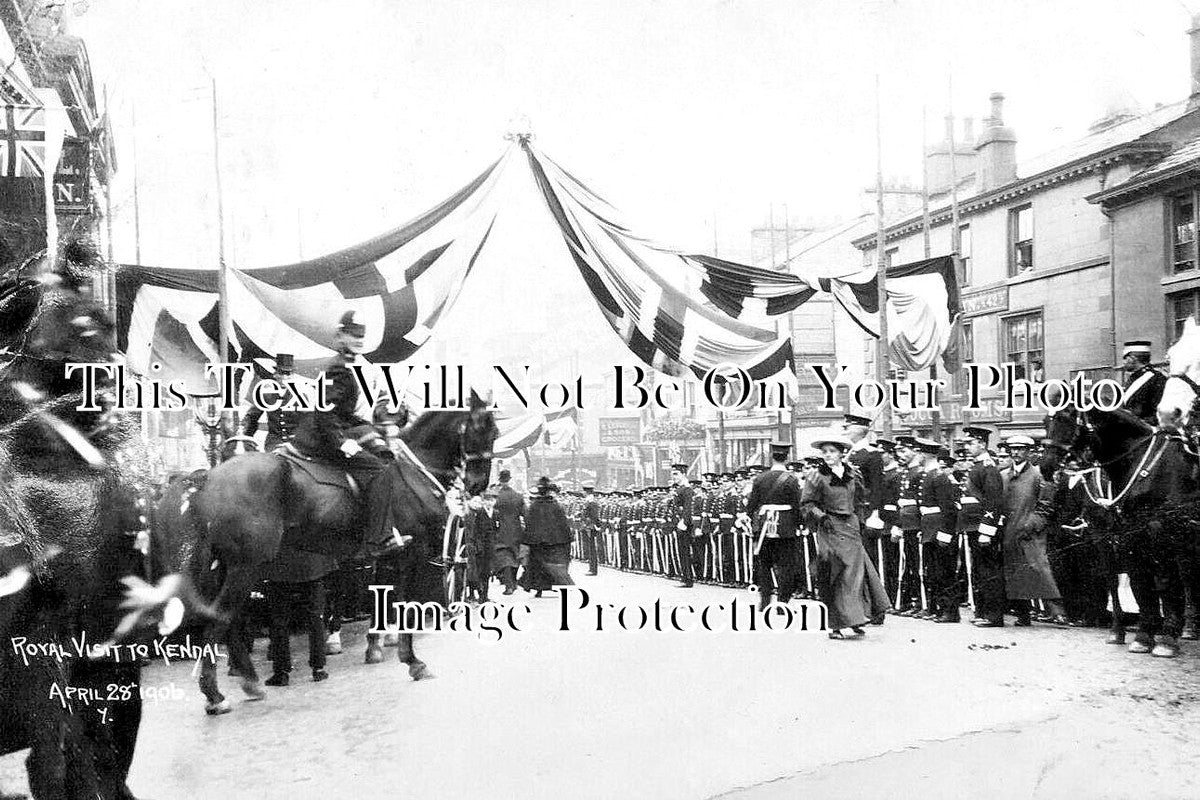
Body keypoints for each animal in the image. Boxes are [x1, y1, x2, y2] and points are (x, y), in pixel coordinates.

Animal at [157, 393, 494, 714]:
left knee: (226, 620)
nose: (478, 485)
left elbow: (384, 598)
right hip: (245, 568)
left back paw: (248, 682)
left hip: (225, 569)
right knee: (222, 619)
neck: (411, 473)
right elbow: (402, 605)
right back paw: (216, 694)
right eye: (481, 428)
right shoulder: (410, 553)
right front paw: (411, 660)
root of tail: (208, 478)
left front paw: (383, 645)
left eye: (495, 430)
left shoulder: (386, 558)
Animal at [1041, 407, 1200, 657]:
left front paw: (1166, 639)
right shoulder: (1118, 535)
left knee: (1187, 579)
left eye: (1067, 417)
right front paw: (1136, 634)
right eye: (1045, 421)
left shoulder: (1161, 531)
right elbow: (1132, 581)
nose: (1046, 466)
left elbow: (1163, 582)